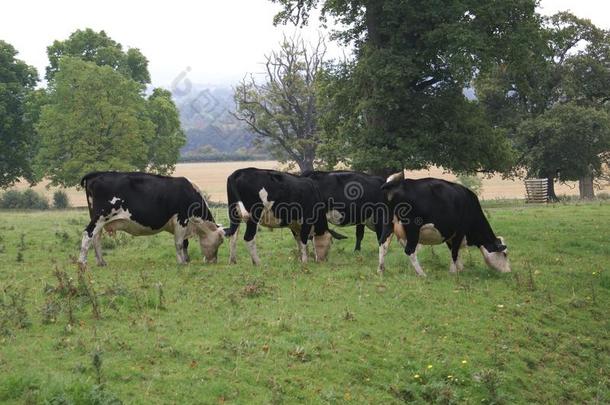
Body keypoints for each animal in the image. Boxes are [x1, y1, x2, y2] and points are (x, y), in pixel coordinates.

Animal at [78, 170, 223, 266]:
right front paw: (181, 262)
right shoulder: (181, 219)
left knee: (96, 238)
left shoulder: (182, 224)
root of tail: (96, 174)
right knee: (88, 234)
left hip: (98, 219)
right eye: (220, 241)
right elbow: (179, 243)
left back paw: (101, 262)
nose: (214, 261)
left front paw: (186, 260)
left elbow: (184, 243)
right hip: (101, 216)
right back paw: (82, 262)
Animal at [376, 178, 508, 276]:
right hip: (413, 228)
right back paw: (422, 274)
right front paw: (454, 272)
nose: (508, 271)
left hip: (388, 224)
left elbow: (454, 251)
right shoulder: (459, 232)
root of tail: (396, 183)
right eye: (505, 254)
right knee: (410, 250)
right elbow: (454, 252)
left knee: (383, 245)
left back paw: (381, 270)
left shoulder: (451, 235)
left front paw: (460, 268)